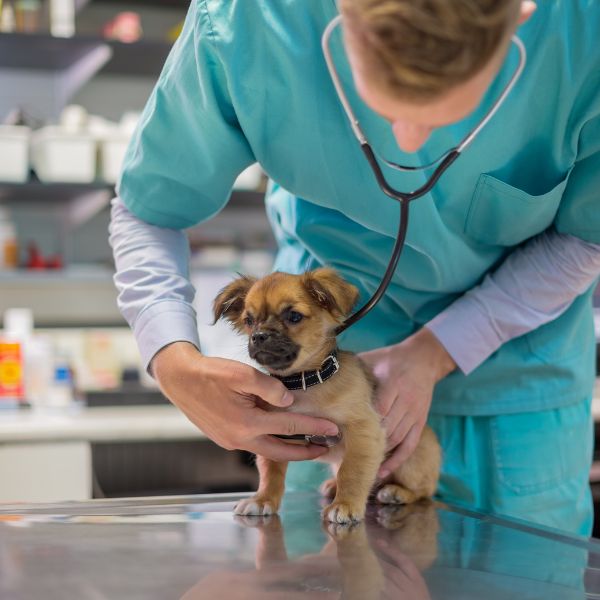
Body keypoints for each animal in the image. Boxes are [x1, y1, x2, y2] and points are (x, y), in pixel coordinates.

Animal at [212, 270, 440, 524]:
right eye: (249, 321)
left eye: (294, 316)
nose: (259, 336)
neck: (303, 384)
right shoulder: (274, 435)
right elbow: (271, 470)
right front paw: (263, 499)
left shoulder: (363, 431)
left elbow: (352, 471)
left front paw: (345, 505)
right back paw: (333, 486)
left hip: (412, 461)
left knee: (425, 490)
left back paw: (396, 491)